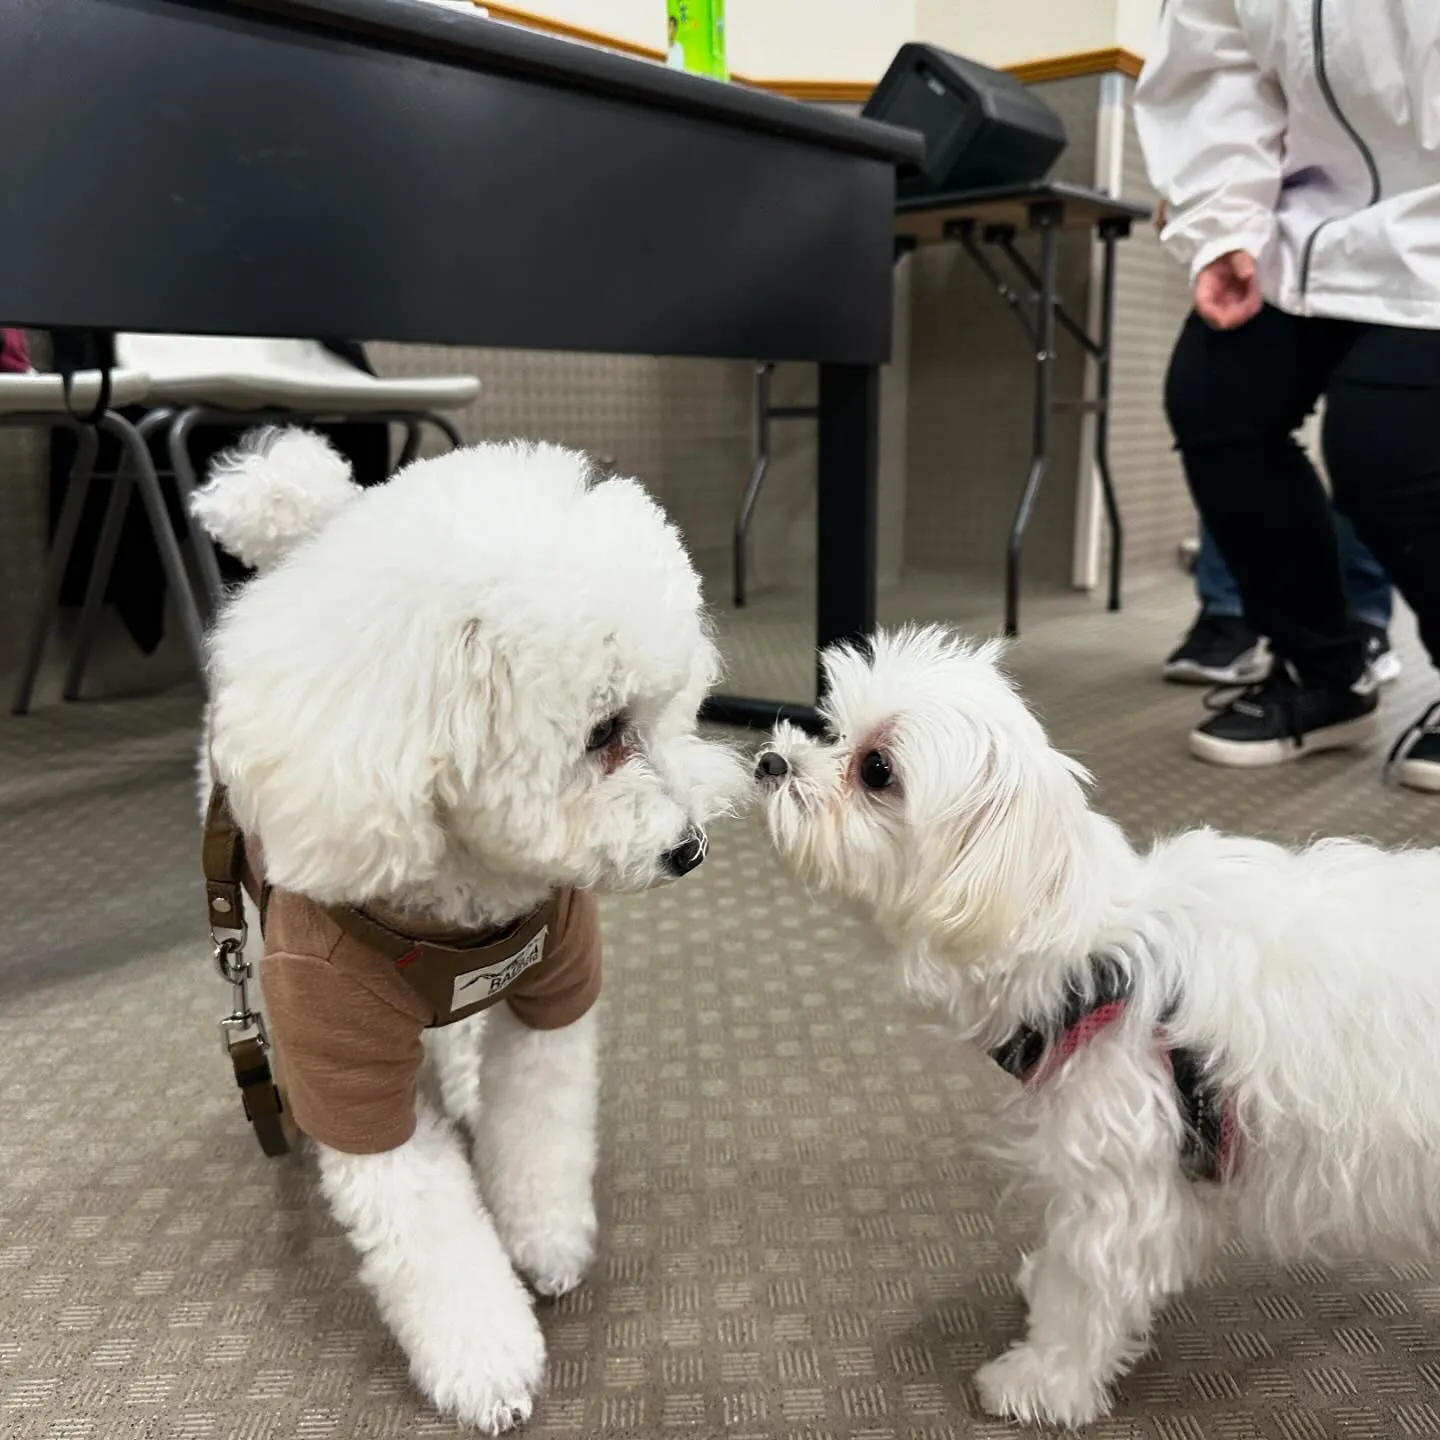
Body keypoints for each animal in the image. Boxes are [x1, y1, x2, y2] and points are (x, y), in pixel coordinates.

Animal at [192, 426, 748, 1428]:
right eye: (602, 731)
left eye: (668, 713)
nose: (689, 850)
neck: (462, 897)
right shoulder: (342, 1062)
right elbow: (429, 1230)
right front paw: (486, 1360)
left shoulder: (555, 989)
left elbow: (540, 1131)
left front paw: (545, 1239)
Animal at [760, 627, 1440, 1428]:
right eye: (833, 727)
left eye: (877, 770)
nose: (771, 761)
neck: (1092, 959)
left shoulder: (1120, 1176)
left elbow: (1085, 1293)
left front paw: (1040, 1381)